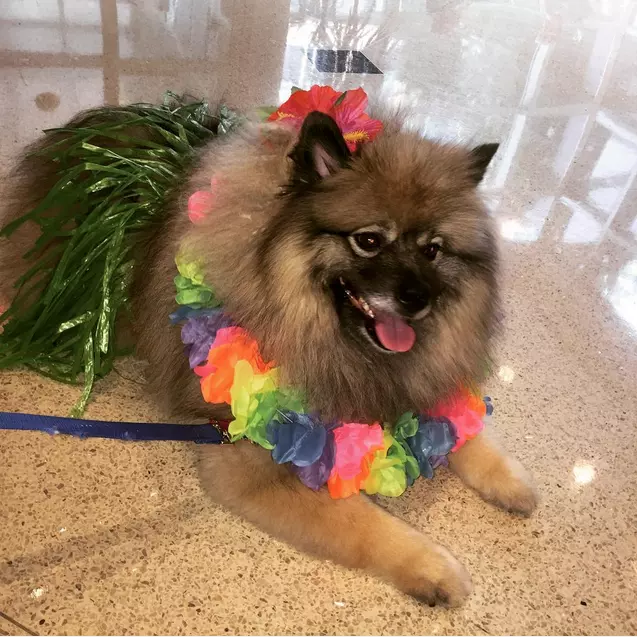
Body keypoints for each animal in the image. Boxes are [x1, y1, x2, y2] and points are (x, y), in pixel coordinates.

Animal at [0, 105, 536, 608]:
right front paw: (434, 567)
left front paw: (511, 479)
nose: (416, 298)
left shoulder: (411, 382)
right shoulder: (247, 464)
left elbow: (462, 426)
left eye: (432, 250)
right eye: (368, 240)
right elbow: (363, 522)